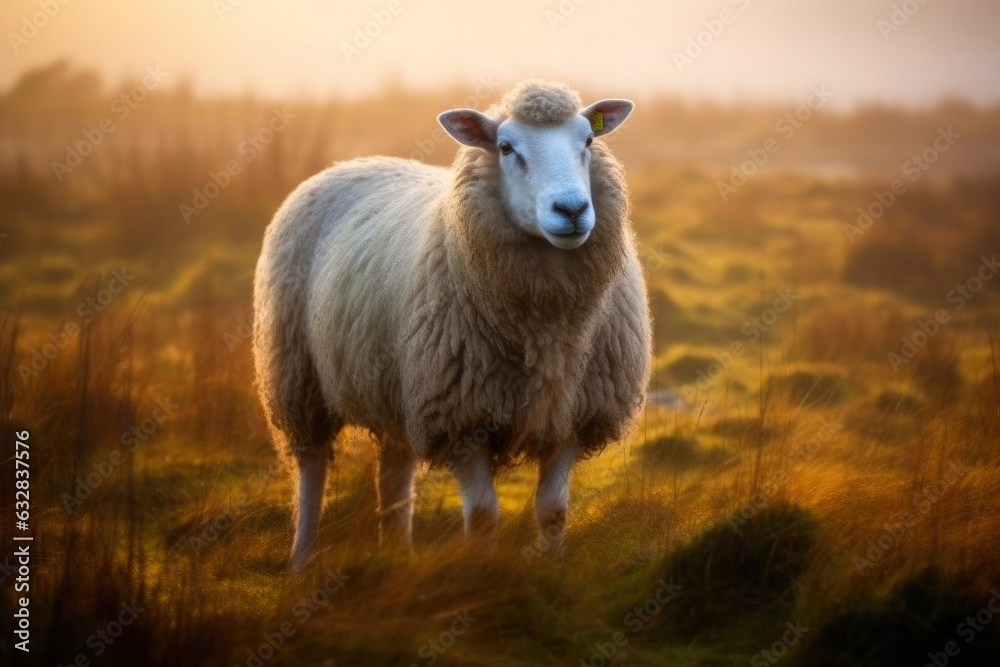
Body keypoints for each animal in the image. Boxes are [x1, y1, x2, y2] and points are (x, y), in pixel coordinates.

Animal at [254, 78, 652, 568]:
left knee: (395, 473)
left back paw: (397, 555)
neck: (545, 331)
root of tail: (354, 161)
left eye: (589, 141)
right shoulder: (460, 418)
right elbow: (482, 516)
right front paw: (479, 574)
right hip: (297, 374)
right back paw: (302, 559)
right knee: (311, 471)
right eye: (505, 147)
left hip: (399, 386)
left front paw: (551, 568)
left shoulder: (571, 416)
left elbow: (553, 511)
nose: (572, 210)